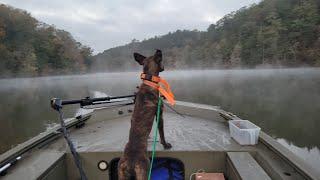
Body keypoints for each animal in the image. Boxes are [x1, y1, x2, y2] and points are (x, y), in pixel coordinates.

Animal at [118, 49, 172, 180]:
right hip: (144, 171)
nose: (164, 67)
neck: (149, 81)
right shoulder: (160, 115)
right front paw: (165, 144)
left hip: (121, 173)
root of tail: (130, 162)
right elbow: (162, 133)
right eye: (161, 61)